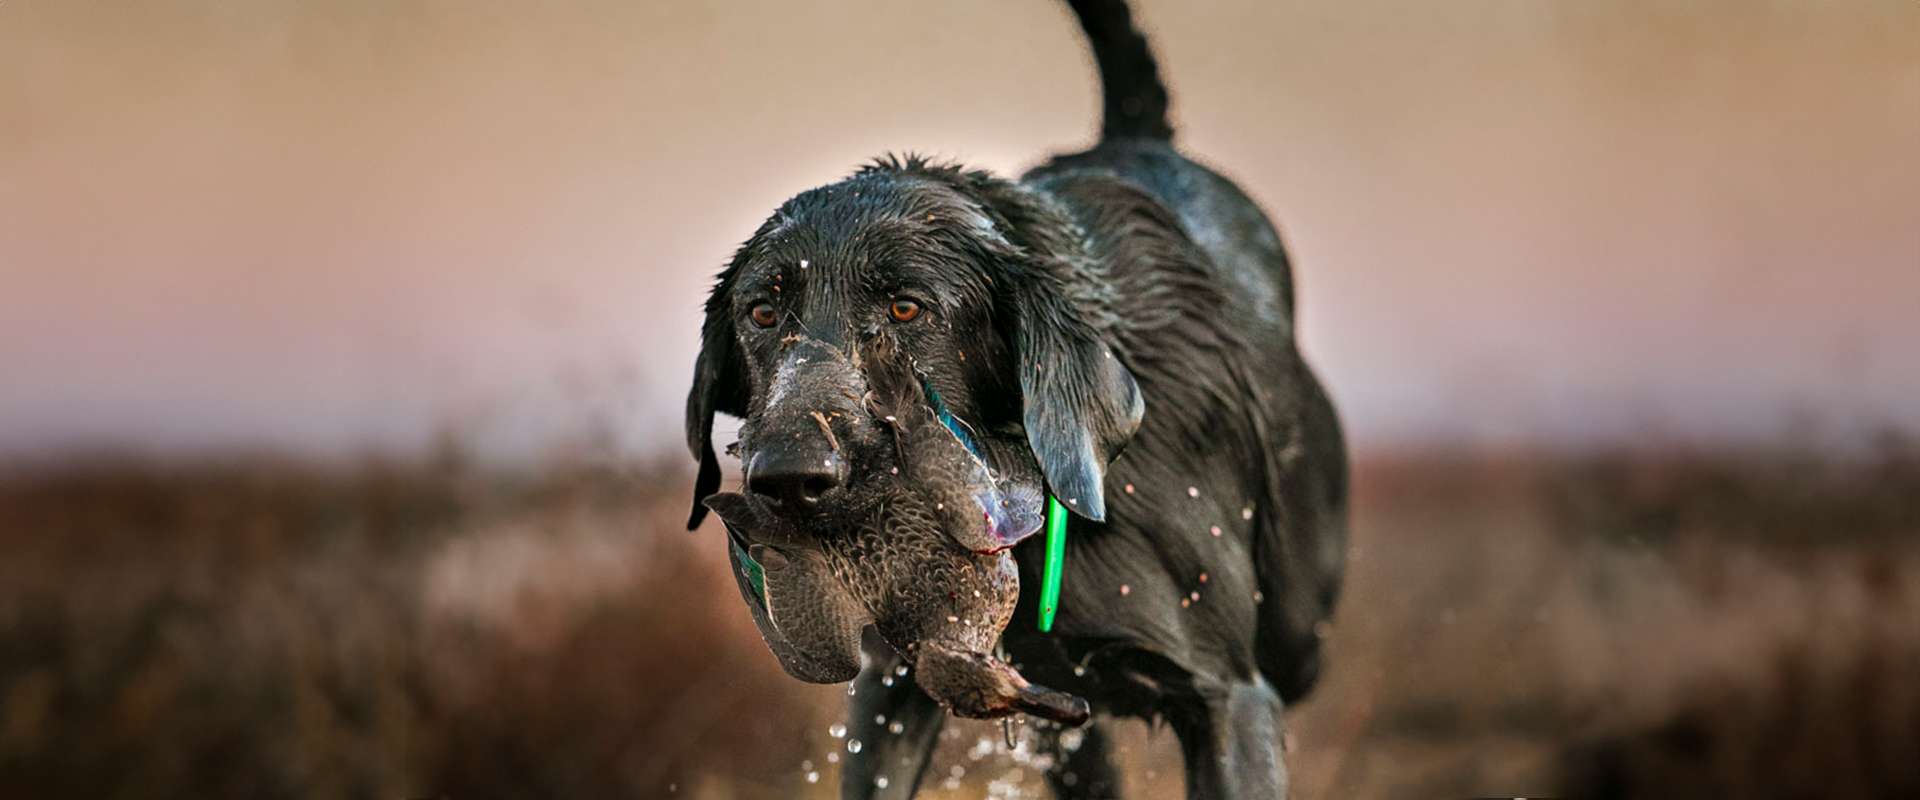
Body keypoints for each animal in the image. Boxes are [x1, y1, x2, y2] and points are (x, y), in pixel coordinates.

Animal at [691, 3, 1351, 794]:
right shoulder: (894, 685)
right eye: (762, 312)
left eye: (908, 308)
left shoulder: (1231, 698)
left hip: (1298, 616)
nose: (788, 476)